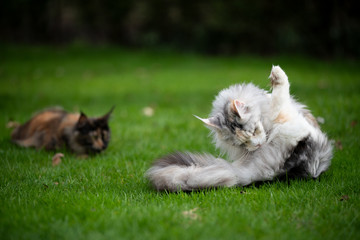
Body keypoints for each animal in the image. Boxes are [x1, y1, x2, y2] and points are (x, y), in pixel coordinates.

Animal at [146, 65, 334, 191]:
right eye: (242, 143)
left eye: (254, 131)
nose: (257, 146)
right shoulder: (282, 115)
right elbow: (280, 95)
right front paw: (277, 74)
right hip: (294, 126)